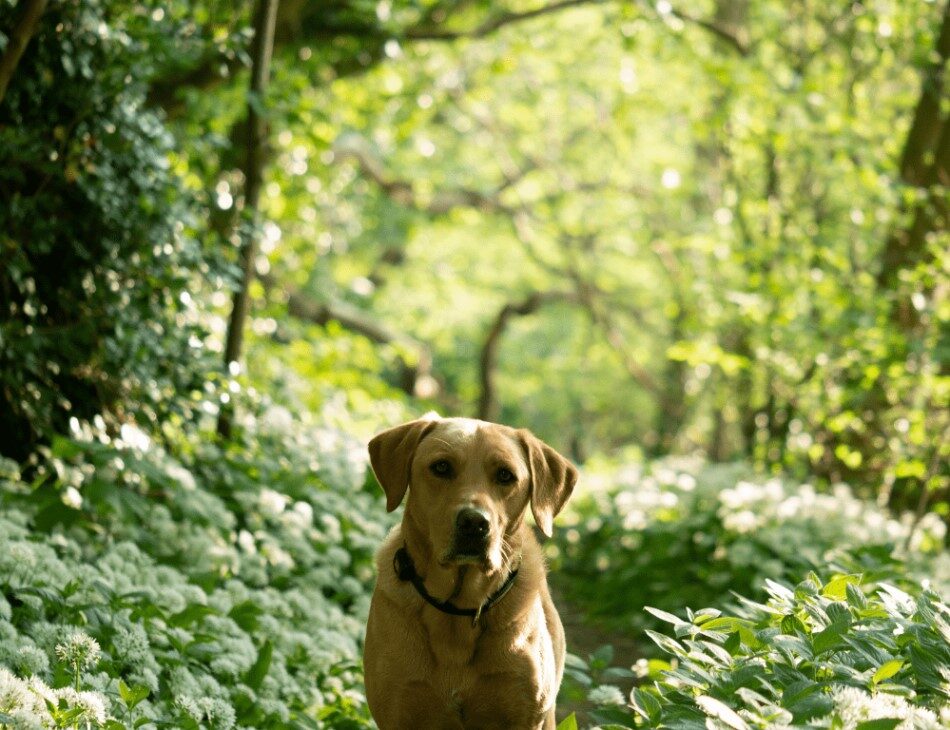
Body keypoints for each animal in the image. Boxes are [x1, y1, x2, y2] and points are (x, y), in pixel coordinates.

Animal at [364, 416, 580, 728]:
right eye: (441, 467)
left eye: (505, 475)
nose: (475, 523)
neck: (458, 607)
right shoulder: (397, 709)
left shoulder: (525, 715)